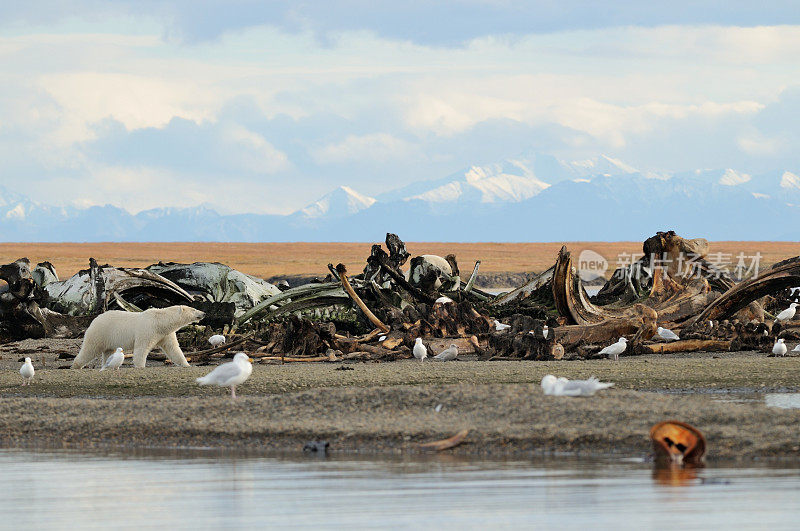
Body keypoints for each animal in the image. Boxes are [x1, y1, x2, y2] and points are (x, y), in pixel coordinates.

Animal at [71, 304, 206, 370]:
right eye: (194, 309)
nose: (204, 313)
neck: (160, 322)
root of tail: (95, 319)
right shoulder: (147, 329)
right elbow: (142, 347)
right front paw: (140, 366)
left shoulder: (165, 334)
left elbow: (173, 349)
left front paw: (186, 364)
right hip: (100, 333)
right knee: (89, 349)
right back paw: (76, 366)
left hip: (109, 338)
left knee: (108, 352)